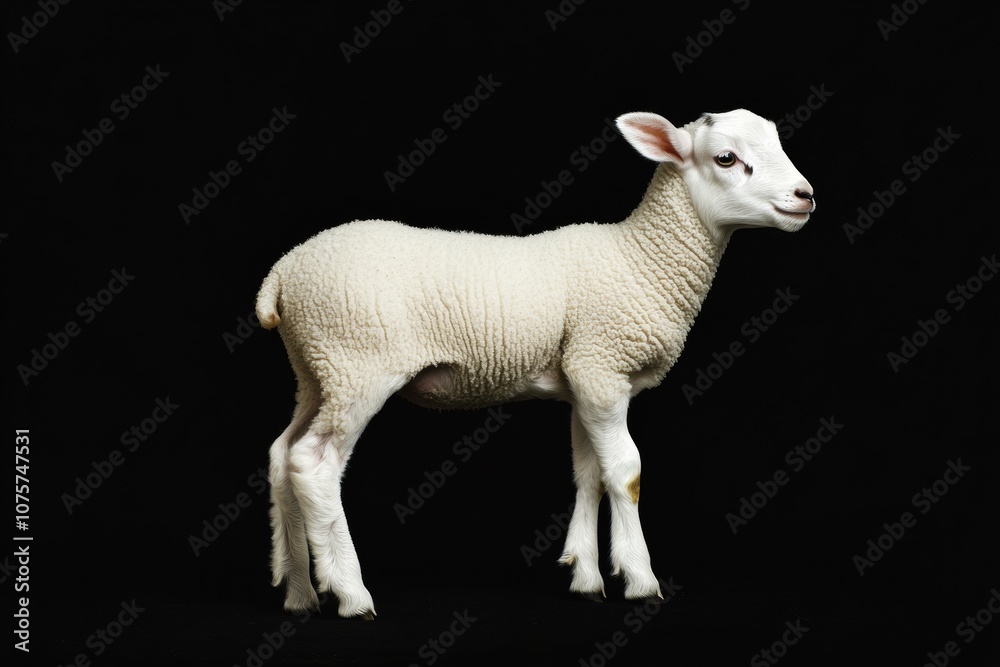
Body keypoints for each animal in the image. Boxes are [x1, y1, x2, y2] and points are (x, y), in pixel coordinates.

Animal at [256, 108, 815, 618]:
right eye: (726, 158)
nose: (806, 197)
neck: (640, 259)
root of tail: (282, 272)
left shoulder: (583, 379)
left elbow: (590, 473)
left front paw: (587, 576)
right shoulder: (601, 365)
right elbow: (626, 472)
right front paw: (639, 578)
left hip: (315, 369)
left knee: (282, 454)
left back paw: (299, 592)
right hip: (358, 363)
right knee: (313, 463)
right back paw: (350, 593)